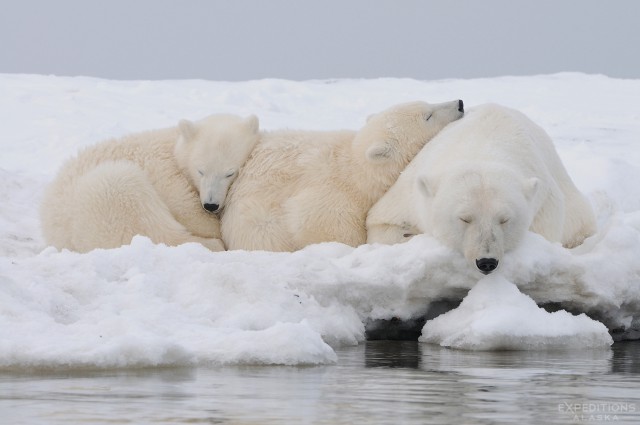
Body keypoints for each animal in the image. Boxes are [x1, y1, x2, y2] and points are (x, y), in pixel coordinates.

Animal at [40, 113, 258, 252]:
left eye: (229, 173)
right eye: (201, 170)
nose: (211, 205)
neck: (174, 147)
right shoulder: (162, 169)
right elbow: (184, 205)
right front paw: (211, 226)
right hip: (100, 198)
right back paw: (212, 244)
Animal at [222, 98, 462, 252]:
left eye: (427, 104)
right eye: (428, 115)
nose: (459, 103)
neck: (357, 171)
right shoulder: (333, 195)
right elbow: (318, 225)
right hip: (256, 223)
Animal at [368, 104, 596, 274]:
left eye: (504, 219)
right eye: (464, 218)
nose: (486, 261)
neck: (482, 148)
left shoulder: (544, 202)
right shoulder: (410, 193)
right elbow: (380, 223)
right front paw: (409, 234)